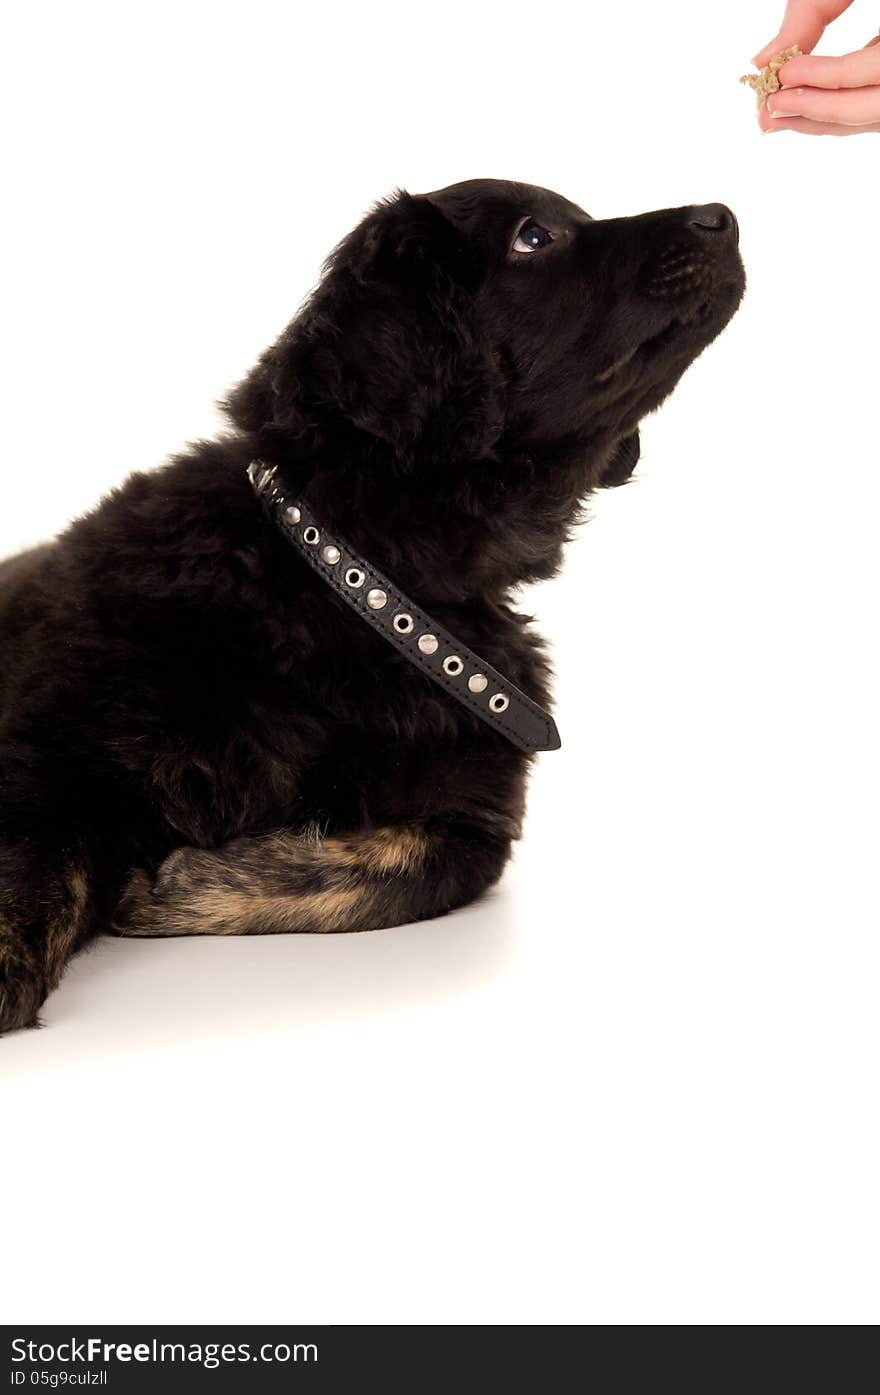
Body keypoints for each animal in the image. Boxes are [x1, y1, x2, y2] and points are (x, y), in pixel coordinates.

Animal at [0, 179, 741, 1032]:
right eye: (534, 235)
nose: (725, 216)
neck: (363, 586)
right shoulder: (47, 743)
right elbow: (36, 855)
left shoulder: (475, 813)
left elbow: (396, 869)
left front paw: (175, 884)